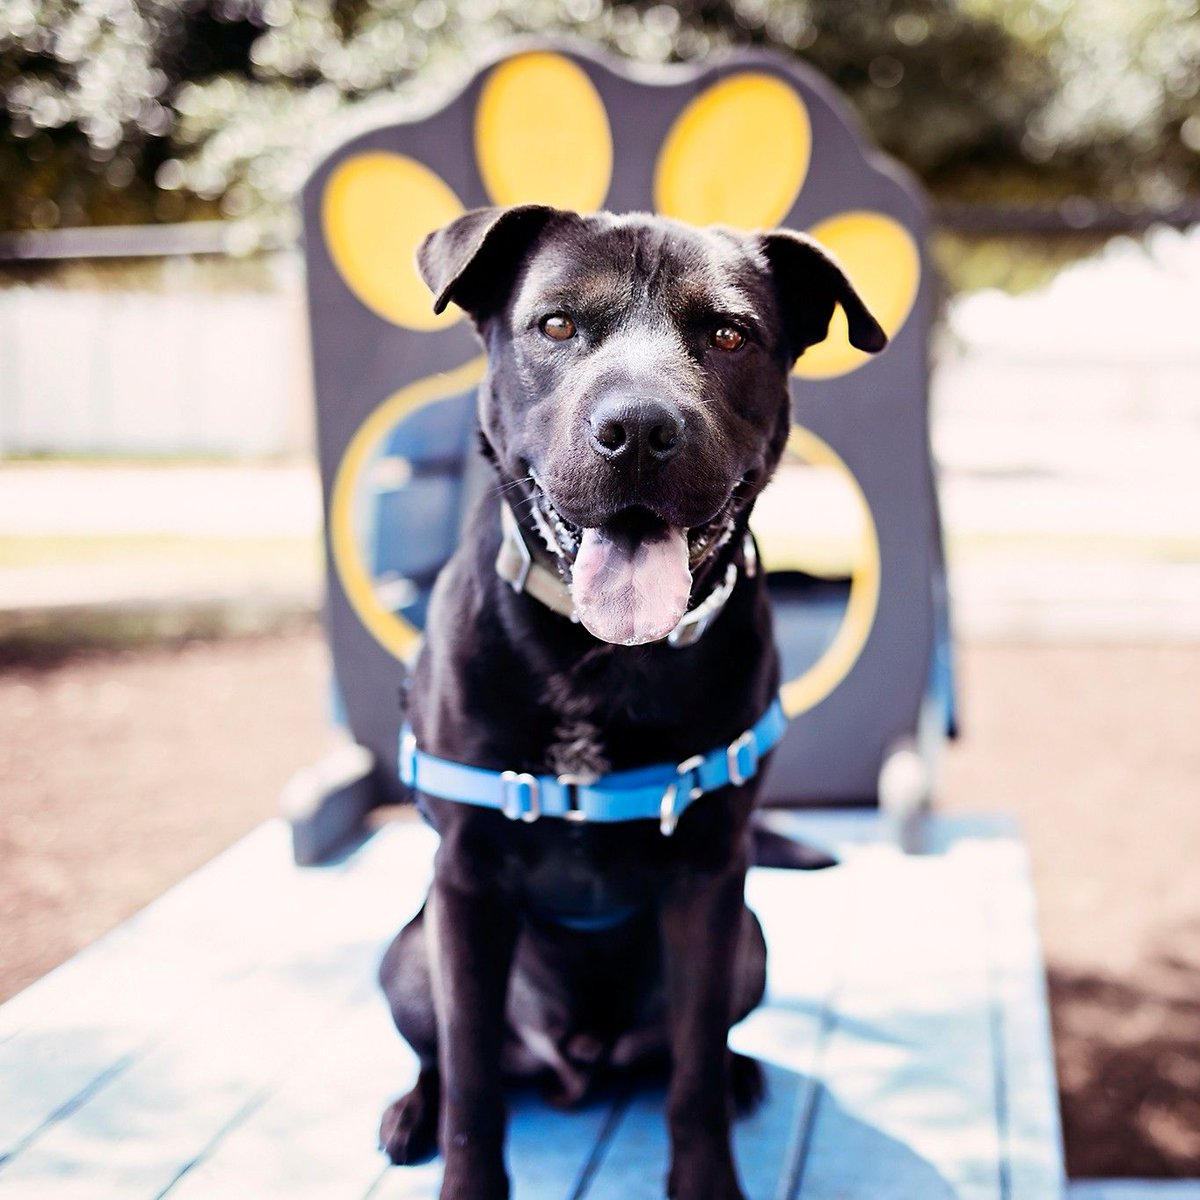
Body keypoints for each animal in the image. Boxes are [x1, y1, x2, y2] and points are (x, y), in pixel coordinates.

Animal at [379, 208, 888, 1200]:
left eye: (728, 335)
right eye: (556, 325)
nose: (641, 428)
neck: (598, 661)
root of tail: (581, 1058)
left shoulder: (710, 876)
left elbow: (690, 1072)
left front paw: (708, 1173)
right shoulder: (466, 882)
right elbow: (473, 1081)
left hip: (750, 943)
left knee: (693, 1049)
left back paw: (740, 1074)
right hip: (409, 957)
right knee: (444, 1057)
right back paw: (412, 1108)